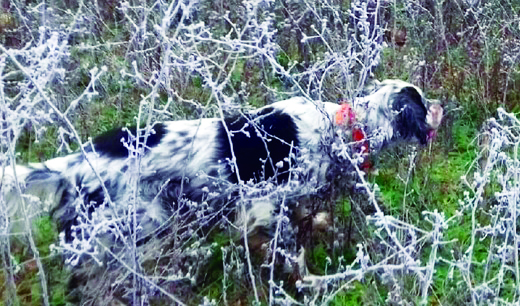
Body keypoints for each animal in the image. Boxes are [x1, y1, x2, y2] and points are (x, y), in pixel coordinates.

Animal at [3, 80, 442, 266]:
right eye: (422, 102)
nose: (442, 105)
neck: (340, 127)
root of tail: (77, 160)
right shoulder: (264, 203)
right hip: (136, 220)